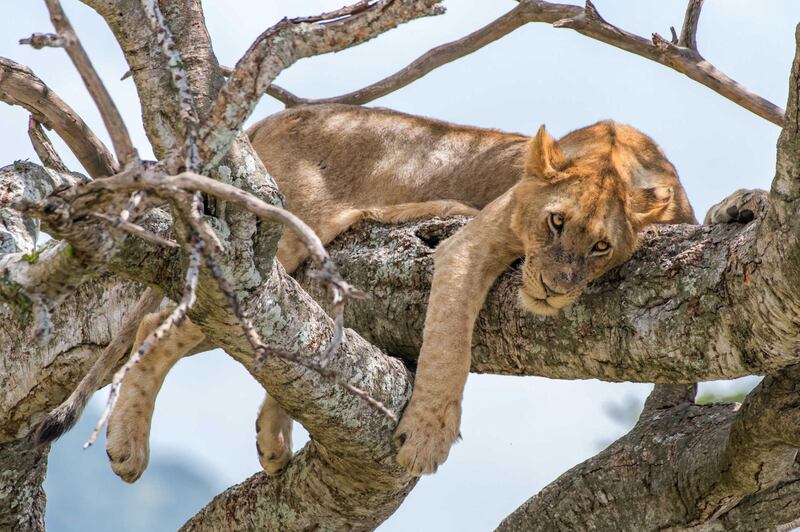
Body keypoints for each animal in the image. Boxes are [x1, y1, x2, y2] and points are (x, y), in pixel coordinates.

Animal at [39, 102, 764, 480]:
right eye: (556, 222)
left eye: (601, 248)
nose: (553, 289)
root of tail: (270, 122)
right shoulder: (473, 243)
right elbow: (448, 346)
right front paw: (428, 438)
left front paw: (745, 204)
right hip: (273, 246)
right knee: (153, 330)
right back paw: (129, 446)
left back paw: (272, 441)